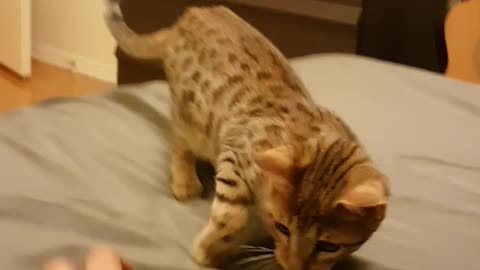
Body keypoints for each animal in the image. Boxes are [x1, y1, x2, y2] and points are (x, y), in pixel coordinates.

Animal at [106, 1, 390, 268]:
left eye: (328, 246)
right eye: (283, 228)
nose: (293, 265)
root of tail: (186, 19)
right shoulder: (236, 155)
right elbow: (230, 217)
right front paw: (208, 251)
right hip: (189, 115)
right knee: (178, 139)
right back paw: (185, 181)